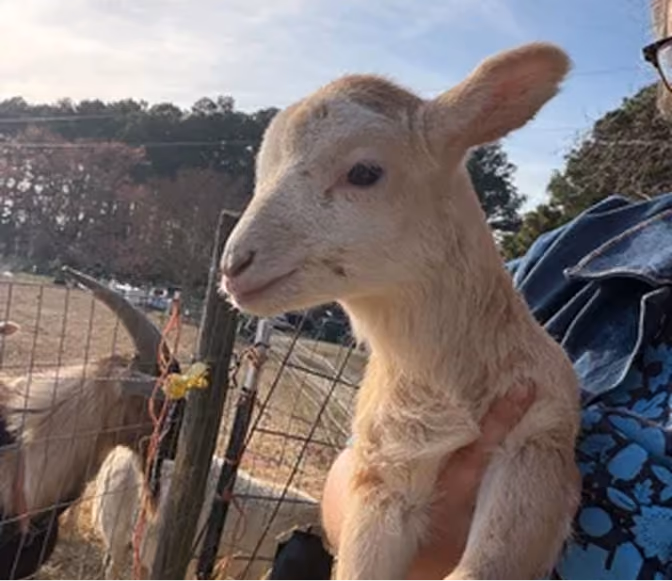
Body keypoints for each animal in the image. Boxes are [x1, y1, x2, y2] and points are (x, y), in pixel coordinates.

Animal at [219, 43, 582, 581]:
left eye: (364, 172)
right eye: (262, 173)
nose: (233, 264)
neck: (441, 386)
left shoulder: (540, 441)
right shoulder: (384, 468)